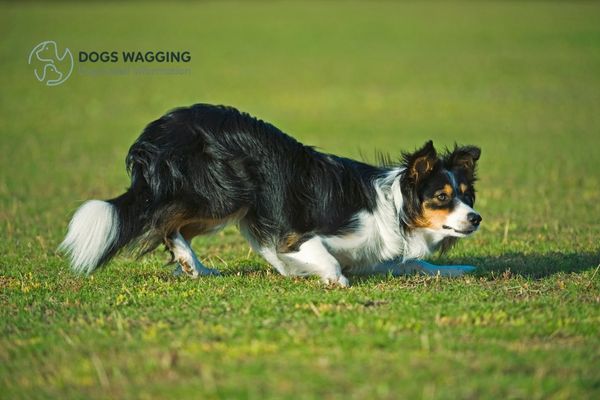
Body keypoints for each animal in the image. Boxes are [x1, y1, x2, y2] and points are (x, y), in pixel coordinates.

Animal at [59, 103, 482, 284]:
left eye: (467, 196)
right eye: (442, 196)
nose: (476, 219)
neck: (396, 206)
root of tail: (161, 128)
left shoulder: (373, 254)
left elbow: (420, 264)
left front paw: (460, 269)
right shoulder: (297, 235)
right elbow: (327, 261)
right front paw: (327, 280)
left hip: (231, 202)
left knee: (174, 226)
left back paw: (196, 267)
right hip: (226, 194)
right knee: (162, 221)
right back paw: (190, 263)